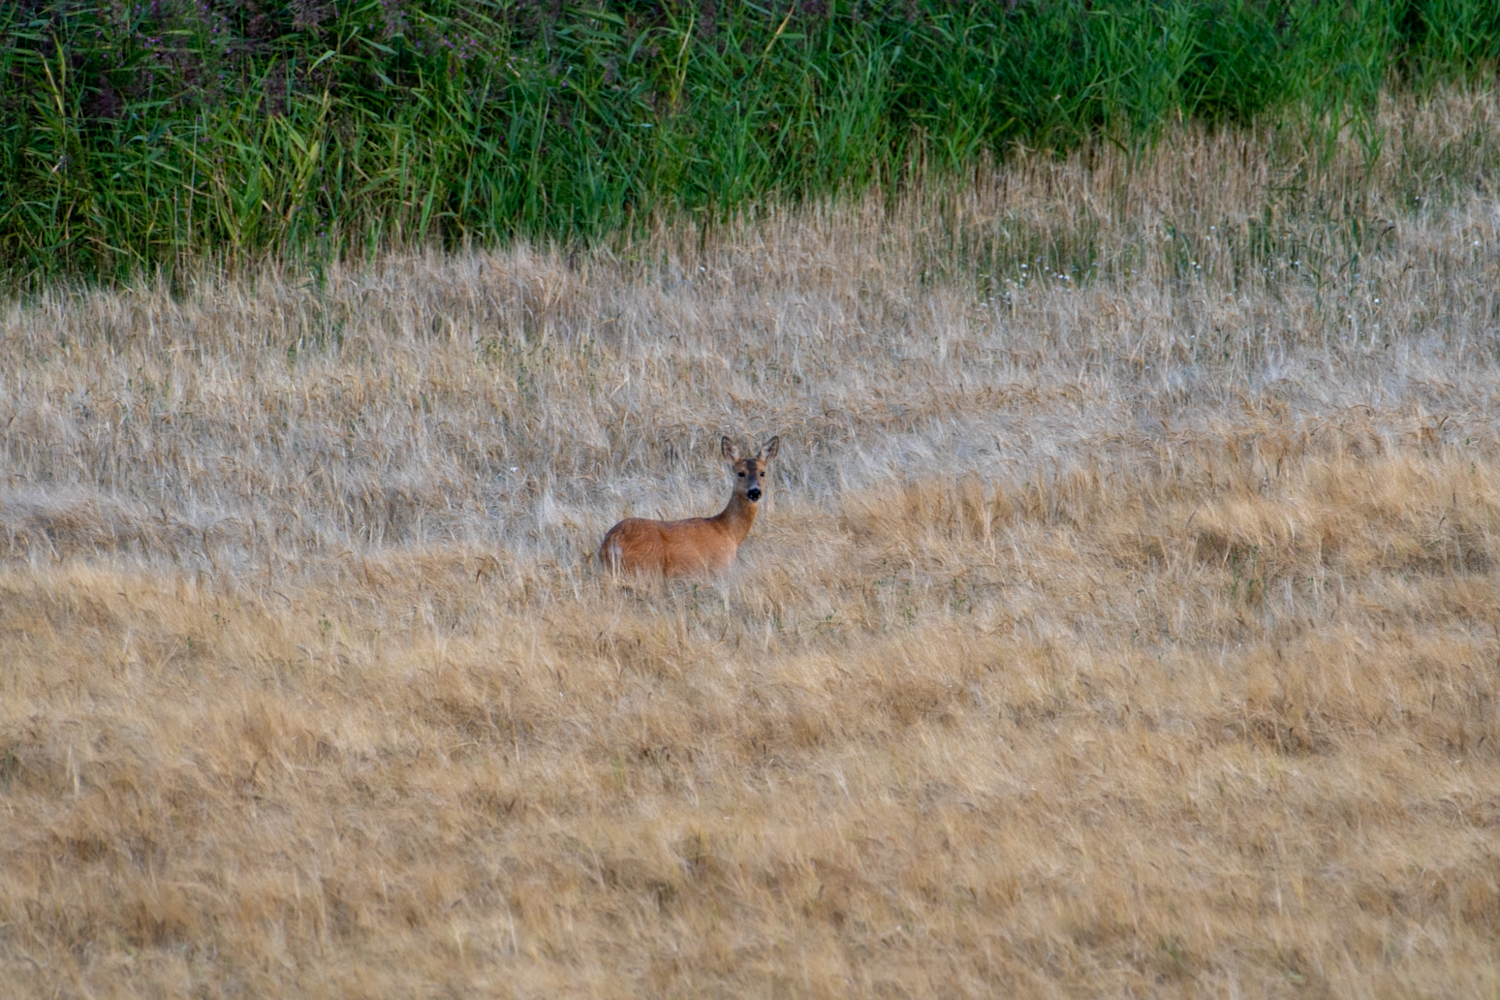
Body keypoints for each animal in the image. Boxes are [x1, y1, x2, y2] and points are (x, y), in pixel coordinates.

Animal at [600, 431, 786, 578]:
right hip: (645, 568)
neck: (728, 531)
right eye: (741, 473)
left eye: (763, 473)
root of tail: (611, 541)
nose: (755, 492)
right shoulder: (719, 568)